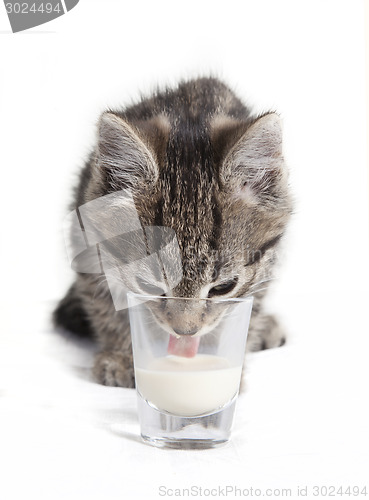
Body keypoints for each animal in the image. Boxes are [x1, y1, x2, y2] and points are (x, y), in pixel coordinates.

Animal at [53, 76, 292, 386]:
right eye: (149, 287)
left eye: (224, 287)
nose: (185, 331)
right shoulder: (86, 239)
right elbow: (106, 305)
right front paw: (121, 356)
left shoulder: (266, 263)